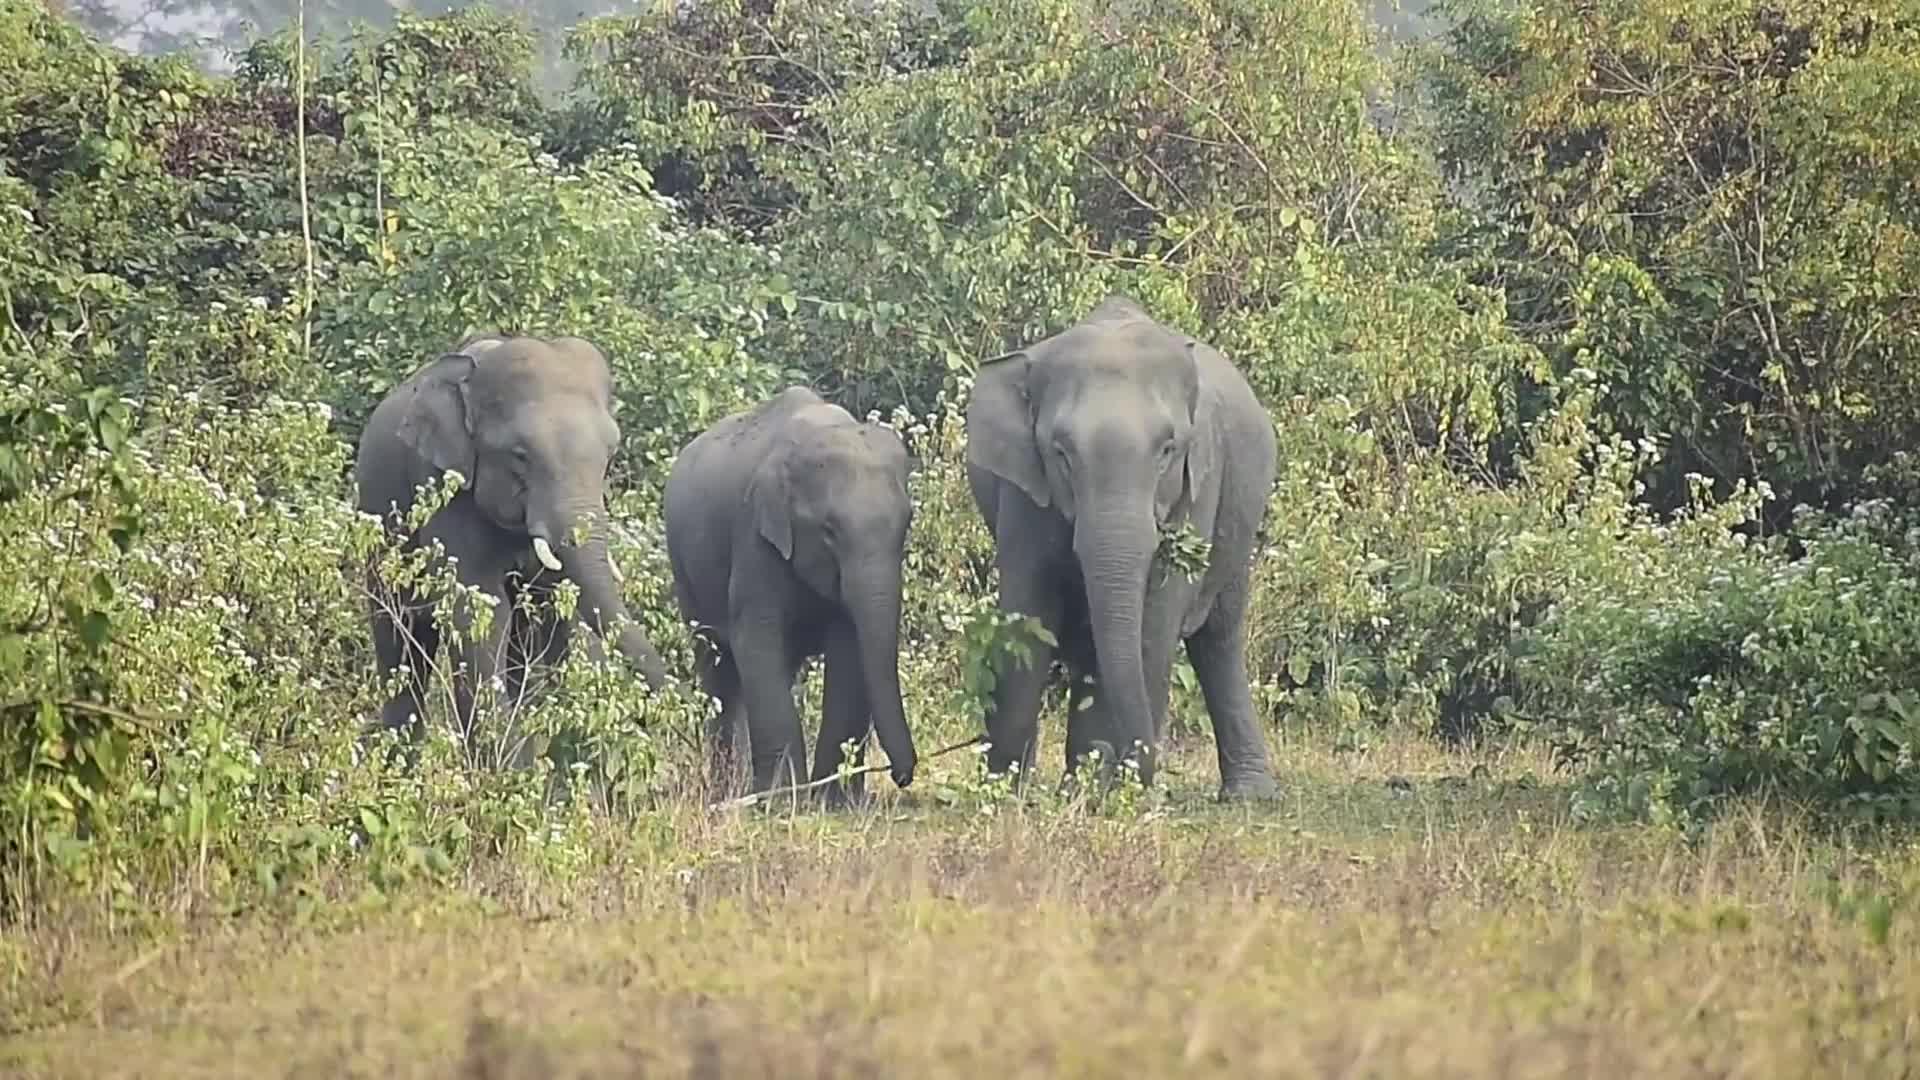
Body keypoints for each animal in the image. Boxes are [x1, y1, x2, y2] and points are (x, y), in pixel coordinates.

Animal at [354, 332, 670, 758]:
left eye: (610, 454)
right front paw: (508, 767)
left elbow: (549, 616)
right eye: (520, 456)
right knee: (400, 639)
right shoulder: (442, 484)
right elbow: (481, 612)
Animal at [663, 386, 918, 803]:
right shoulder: (754, 536)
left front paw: (835, 801)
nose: (902, 776)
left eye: (907, 523)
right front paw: (783, 799)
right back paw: (729, 792)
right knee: (716, 667)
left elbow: (849, 648)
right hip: (685, 572)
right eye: (829, 531)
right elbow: (758, 639)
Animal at [964, 296, 1280, 801]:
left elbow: (1156, 623)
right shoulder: (1025, 490)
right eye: (1060, 453)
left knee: (1219, 640)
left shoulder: (1198, 487)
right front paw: (1006, 787)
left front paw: (1116, 788)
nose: (1147, 772)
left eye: (1168, 450)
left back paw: (1248, 795)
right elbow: (1028, 609)